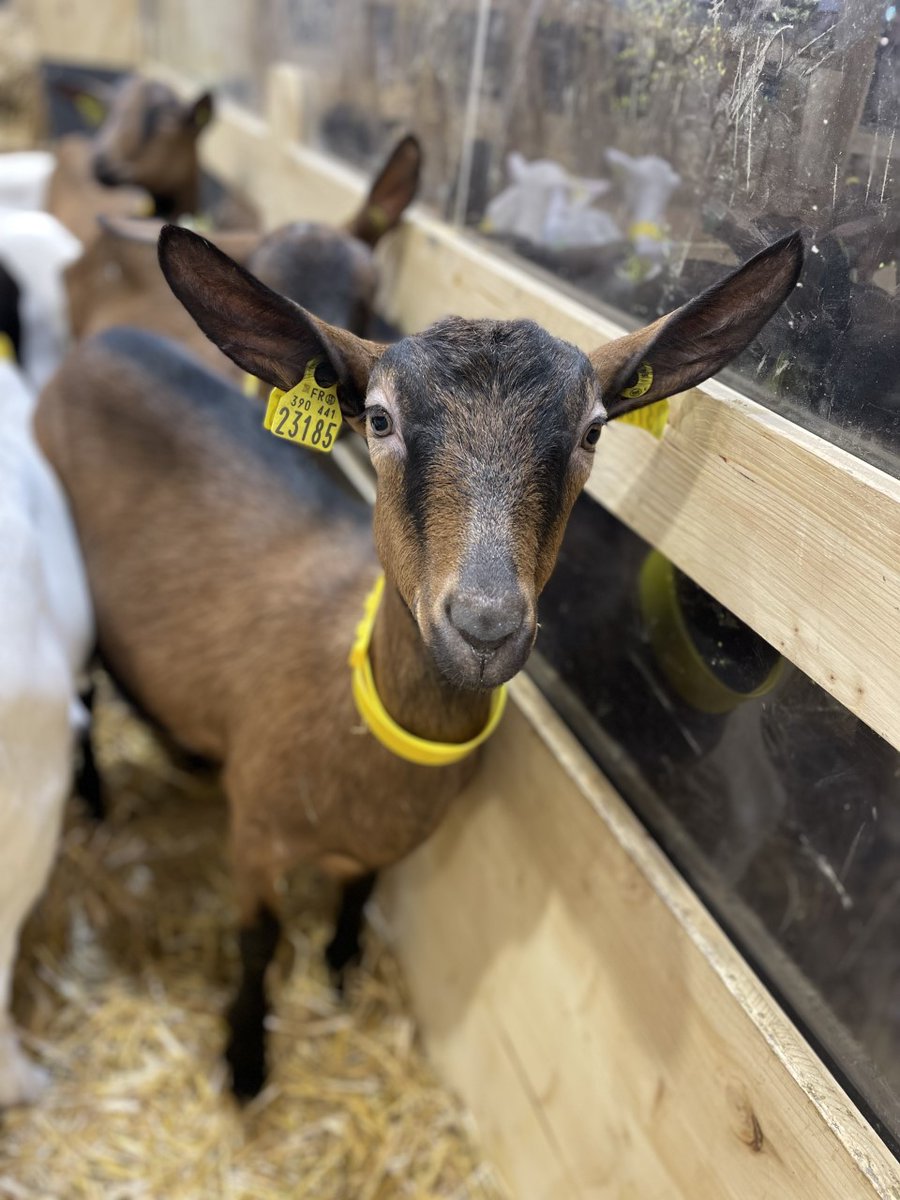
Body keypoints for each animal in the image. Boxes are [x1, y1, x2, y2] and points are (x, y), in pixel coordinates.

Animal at [35, 225, 803, 1099]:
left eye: (594, 430)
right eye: (378, 418)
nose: (485, 624)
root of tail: (103, 345)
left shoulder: (389, 842)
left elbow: (357, 896)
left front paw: (340, 972)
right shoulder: (254, 837)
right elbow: (259, 941)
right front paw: (246, 1061)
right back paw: (97, 798)